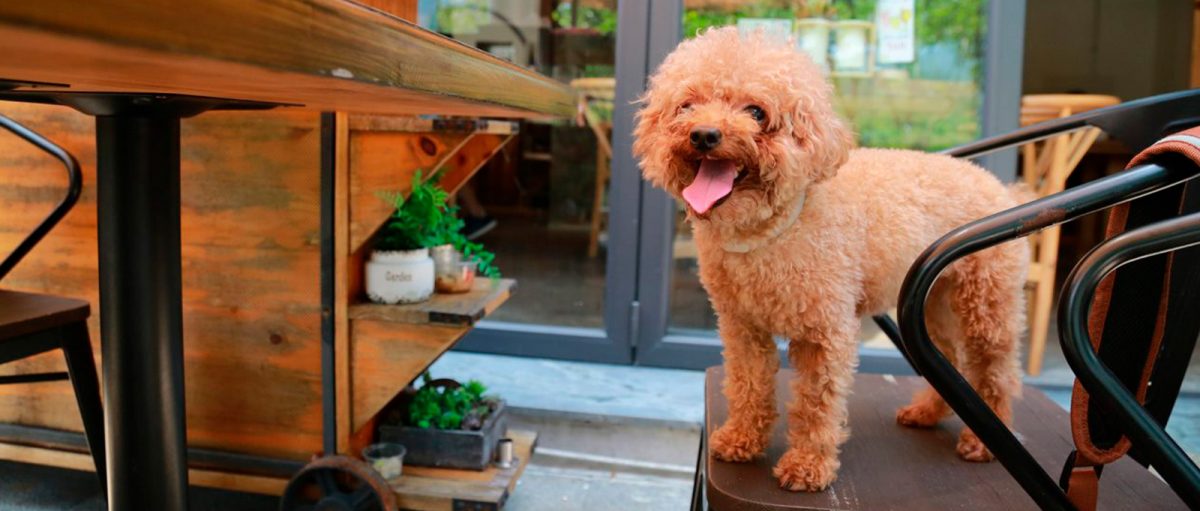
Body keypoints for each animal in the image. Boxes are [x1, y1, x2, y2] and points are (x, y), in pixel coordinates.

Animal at [633, 27, 1027, 491]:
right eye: (687, 105)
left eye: (756, 111)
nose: (704, 135)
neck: (768, 231)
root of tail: (999, 186)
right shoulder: (742, 326)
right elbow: (748, 385)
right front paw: (742, 440)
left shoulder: (825, 332)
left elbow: (816, 404)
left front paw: (807, 466)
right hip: (934, 307)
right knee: (952, 360)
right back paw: (926, 413)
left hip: (986, 305)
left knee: (995, 370)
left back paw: (982, 442)